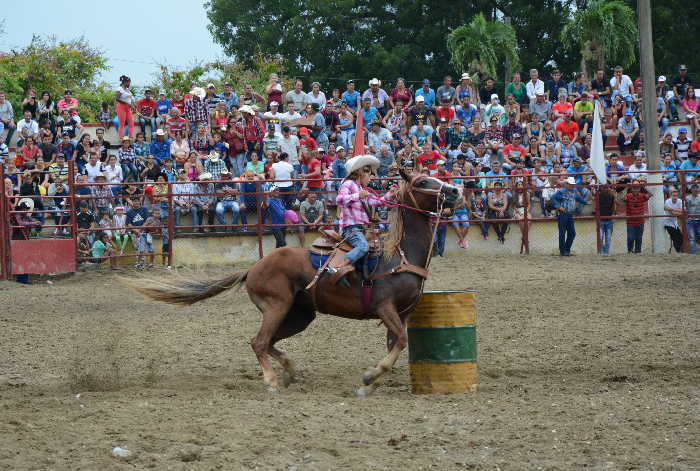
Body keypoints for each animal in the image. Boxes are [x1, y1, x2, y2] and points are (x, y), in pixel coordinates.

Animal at [129, 168, 462, 396]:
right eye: (423, 182)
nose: (456, 190)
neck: (398, 254)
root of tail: (253, 268)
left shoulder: (403, 313)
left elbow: (396, 345)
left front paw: (372, 382)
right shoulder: (385, 307)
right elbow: (401, 342)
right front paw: (369, 378)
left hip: (300, 315)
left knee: (269, 342)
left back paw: (289, 371)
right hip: (277, 306)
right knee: (259, 342)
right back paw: (272, 381)